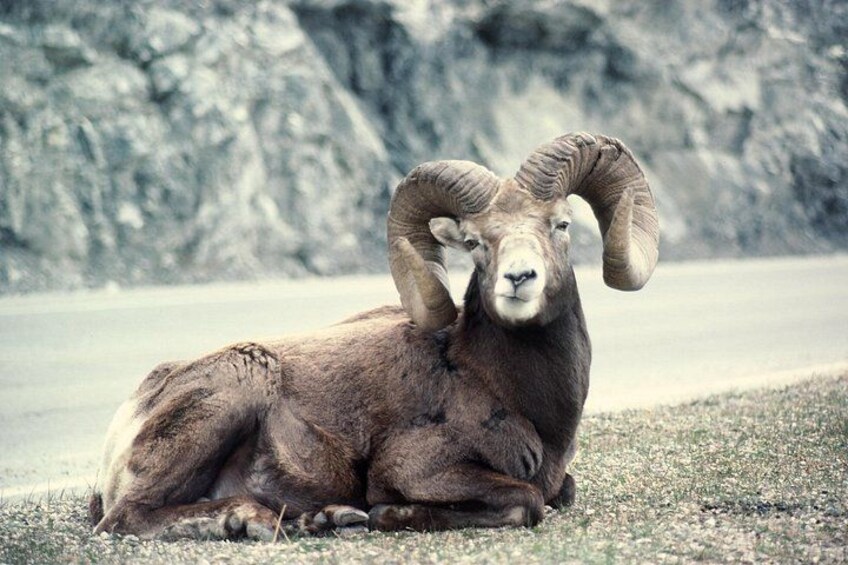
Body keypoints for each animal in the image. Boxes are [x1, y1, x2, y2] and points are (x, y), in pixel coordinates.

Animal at [89, 132, 659, 539]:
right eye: (475, 242)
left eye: (561, 225)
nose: (519, 279)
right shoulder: (417, 468)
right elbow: (528, 500)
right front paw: (386, 515)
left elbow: (562, 492)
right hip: (237, 386)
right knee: (127, 518)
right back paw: (253, 521)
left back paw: (322, 519)